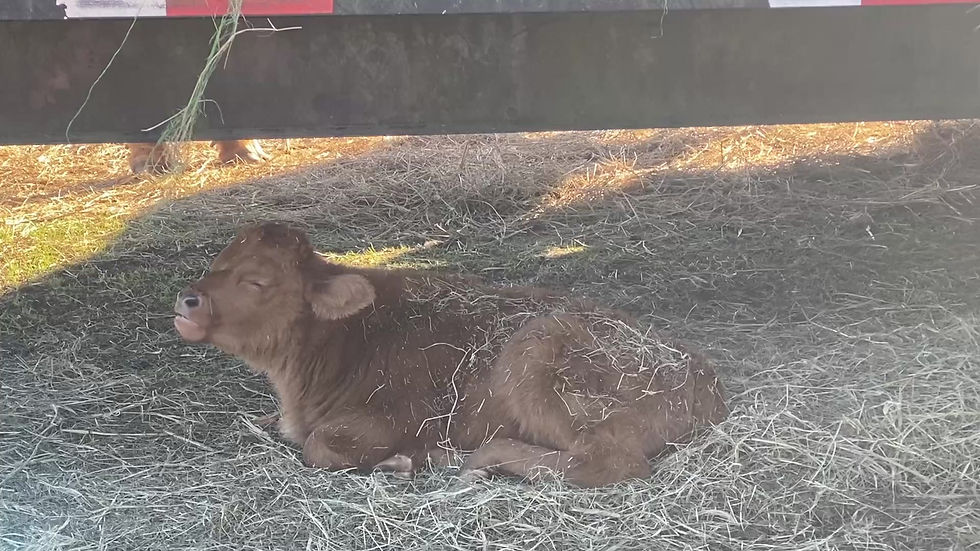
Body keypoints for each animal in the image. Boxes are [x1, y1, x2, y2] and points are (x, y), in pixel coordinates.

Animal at [172, 222, 728, 486]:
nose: (187, 300)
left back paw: (480, 459)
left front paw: (401, 461)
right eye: (218, 261)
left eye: (256, 281)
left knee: (607, 462)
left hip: (536, 354)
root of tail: (703, 374)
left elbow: (320, 446)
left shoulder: (393, 417)